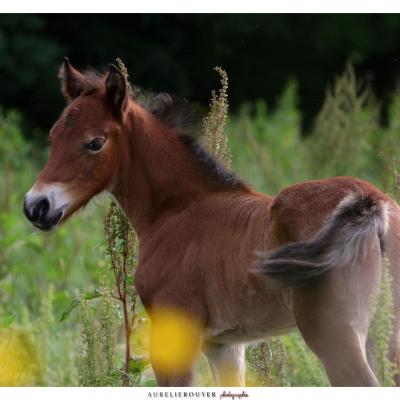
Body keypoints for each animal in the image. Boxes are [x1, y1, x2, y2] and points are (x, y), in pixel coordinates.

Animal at [24, 57, 400, 386]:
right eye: (54, 135)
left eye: (95, 143)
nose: (36, 206)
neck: (178, 210)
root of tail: (373, 204)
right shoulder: (224, 345)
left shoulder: (175, 335)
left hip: (335, 336)